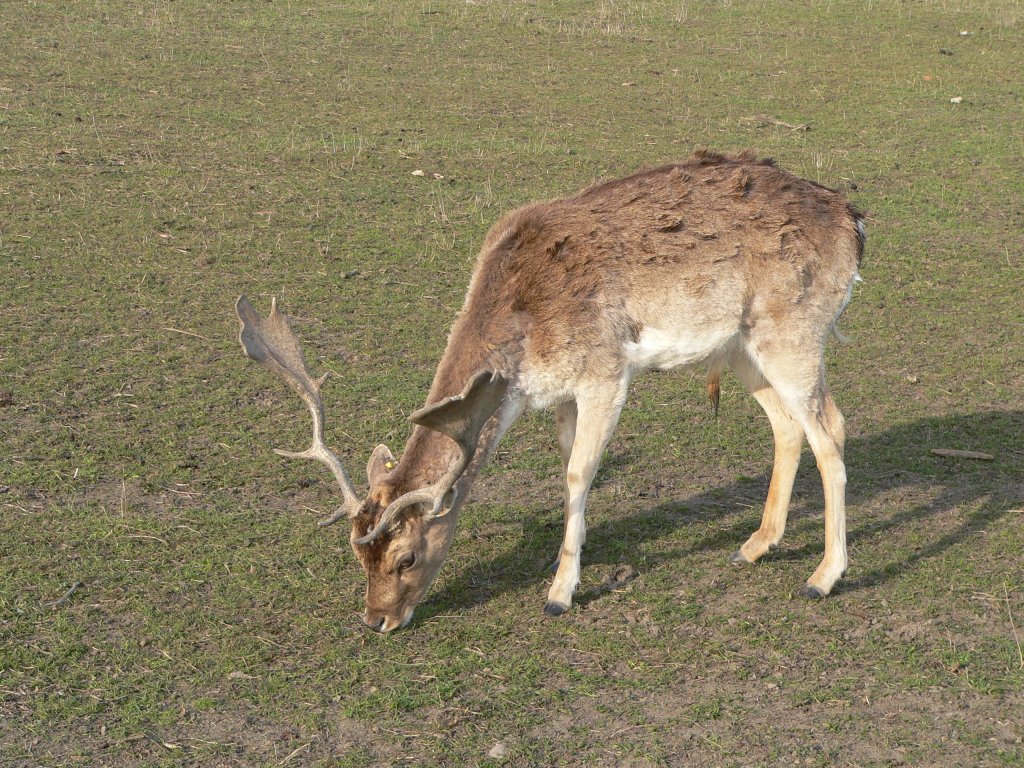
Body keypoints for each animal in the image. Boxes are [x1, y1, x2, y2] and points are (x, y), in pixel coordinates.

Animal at [237, 151, 864, 638]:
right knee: (788, 425)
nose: (377, 621)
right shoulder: (561, 393)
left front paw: (560, 592)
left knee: (831, 428)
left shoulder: (605, 373)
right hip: (740, 348)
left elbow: (580, 473)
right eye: (356, 553)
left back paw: (823, 577)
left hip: (793, 332)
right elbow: (567, 471)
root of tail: (855, 224)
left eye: (406, 556)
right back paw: (756, 545)